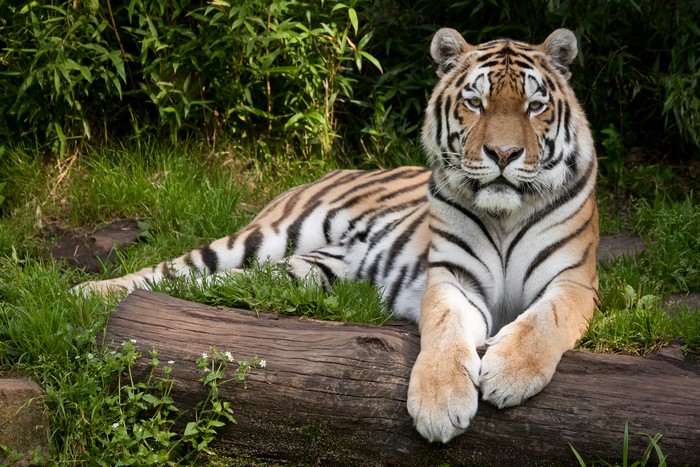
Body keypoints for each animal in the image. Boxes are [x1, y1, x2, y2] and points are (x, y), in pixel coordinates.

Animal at [75, 28, 599, 443]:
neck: (504, 214)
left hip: (297, 271)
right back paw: (84, 293)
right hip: (268, 236)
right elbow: (445, 331)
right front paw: (440, 403)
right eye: (475, 102)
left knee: (202, 284)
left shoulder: (574, 281)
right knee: (168, 269)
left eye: (534, 106)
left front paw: (509, 374)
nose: (504, 154)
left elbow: (544, 320)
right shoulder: (452, 278)